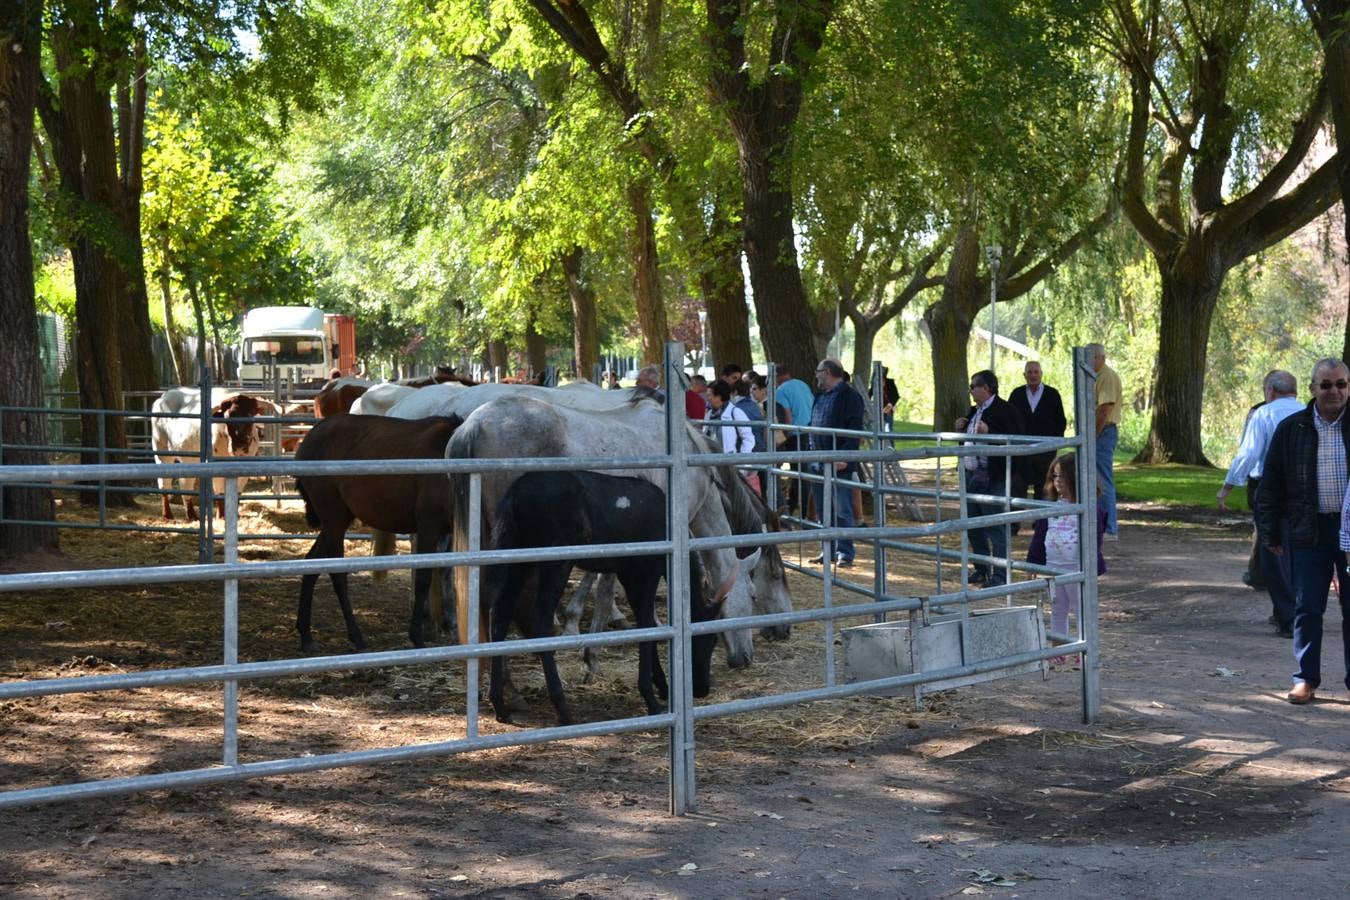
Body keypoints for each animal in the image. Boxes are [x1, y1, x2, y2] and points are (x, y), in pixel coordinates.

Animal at [151, 388, 276, 520]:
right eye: (226, 417)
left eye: (250, 415)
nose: (239, 446)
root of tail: (164, 397)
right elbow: (220, 493)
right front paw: (221, 517)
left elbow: (237, 492)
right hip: (162, 451)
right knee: (165, 484)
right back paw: (169, 514)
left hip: (188, 459)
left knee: (184, 484)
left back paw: (190, 515)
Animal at [292, 412, 461, 650]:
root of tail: (311, 436)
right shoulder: (429, 525)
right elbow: (423, 579)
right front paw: (417, 635)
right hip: (333, 518)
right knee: (337, 574)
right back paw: (356, 637)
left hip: (338, 519)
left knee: (312, 563)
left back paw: (306, 634)